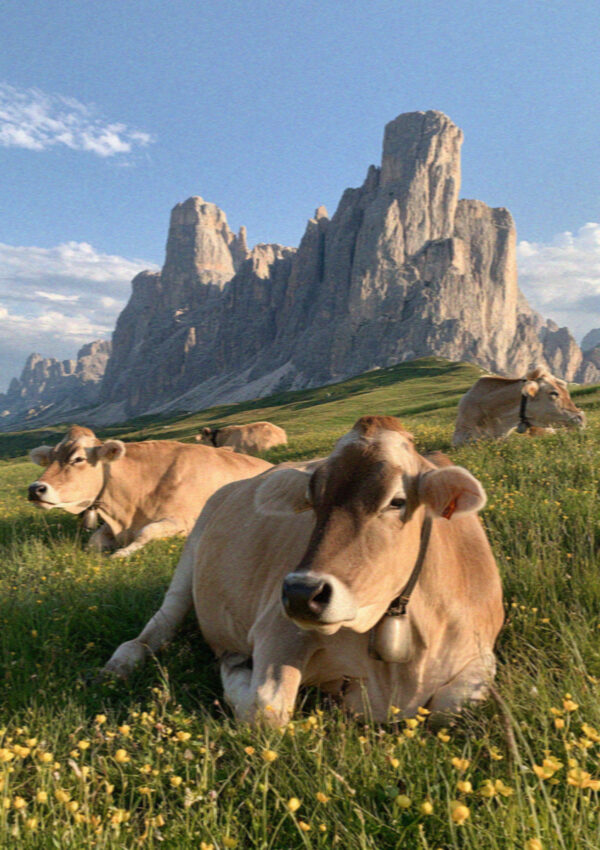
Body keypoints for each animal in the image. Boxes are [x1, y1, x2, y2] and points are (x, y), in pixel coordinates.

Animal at [27, 425, 272, 558]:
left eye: (78, 459)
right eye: (51, 458)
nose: (35, 489)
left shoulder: (184, 521)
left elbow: (147, 532)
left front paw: (121, 553)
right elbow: (94, 542)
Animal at [104, 416, 503, 726]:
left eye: (397, 501)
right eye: (312, 502)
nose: (301, 594)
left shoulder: (480, 650)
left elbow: (451, 706)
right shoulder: (278, 629)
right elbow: (265, 709)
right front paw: (234, 667)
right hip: (189, 555)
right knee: (159, 623)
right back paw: (123, 660)